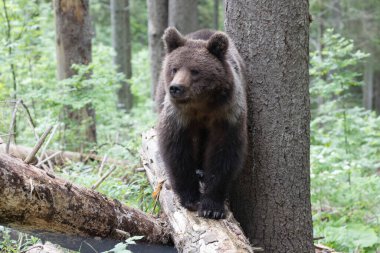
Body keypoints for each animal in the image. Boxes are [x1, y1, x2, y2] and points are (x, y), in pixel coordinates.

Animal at [156, 26, 248, 218]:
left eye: (195, 70)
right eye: (174, 68)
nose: (176, 88)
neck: (201, 105)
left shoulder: (227, 115)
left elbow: (223, 154)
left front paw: (212, 207)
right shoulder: (179, 116)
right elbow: (177, 151)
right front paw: (191, 198)